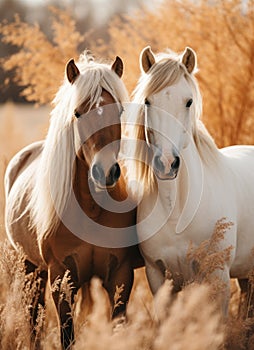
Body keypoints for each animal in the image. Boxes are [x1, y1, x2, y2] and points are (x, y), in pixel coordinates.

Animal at [4, 50, 143, 348]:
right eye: (78, 113)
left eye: (120, 111)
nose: (106, 172)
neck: (91, 210)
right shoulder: (61, 277)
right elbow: (66, 334)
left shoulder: (120, 277)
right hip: (31, 268)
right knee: (33, 317)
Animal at [127, 45, 254, 314]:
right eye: (148, 101)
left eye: (188, 101)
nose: (166, 163)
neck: (176, 211)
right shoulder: (158, 276)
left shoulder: (217, 276)